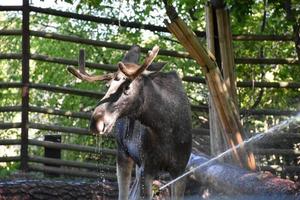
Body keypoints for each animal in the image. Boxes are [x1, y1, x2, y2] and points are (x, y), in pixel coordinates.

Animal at [67, 45, 192, 200]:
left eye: (127, 87)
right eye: (107, 86)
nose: (96, 121)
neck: (165, 129)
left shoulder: (180, 169)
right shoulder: (147, 167)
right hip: (123, 154)